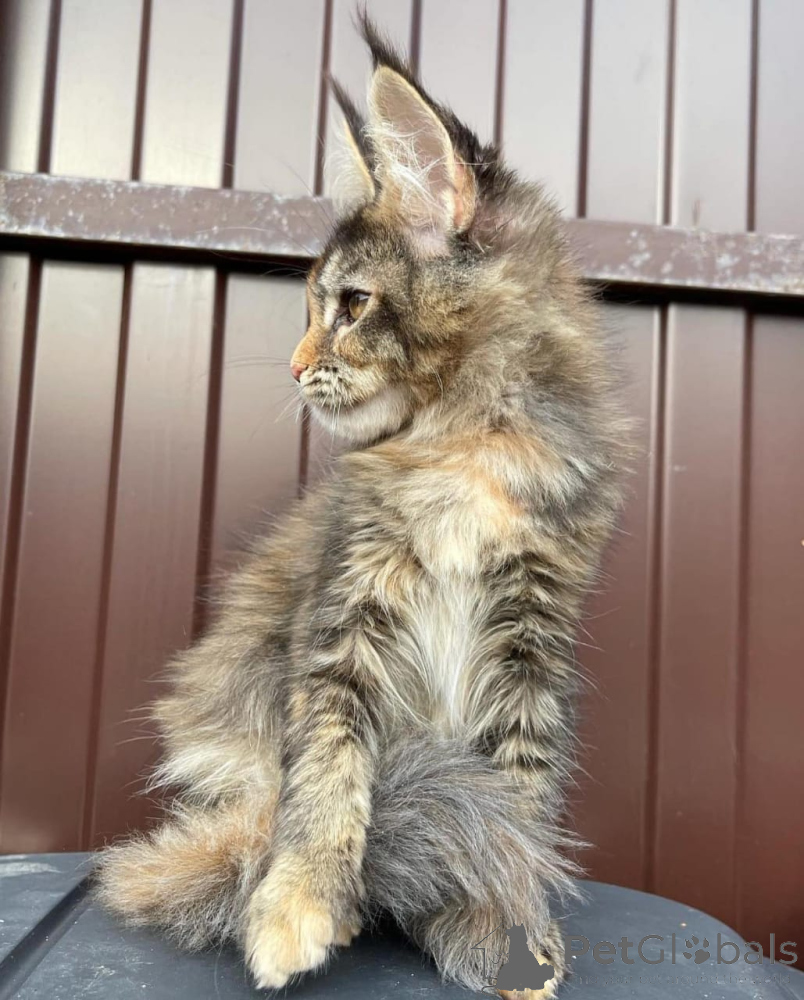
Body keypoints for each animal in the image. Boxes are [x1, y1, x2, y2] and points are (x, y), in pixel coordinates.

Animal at [95, 14, 629, 999]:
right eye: (314, 306)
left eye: (350, 304)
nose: (297, 367)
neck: (466, 446)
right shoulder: (343, 615)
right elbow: (327, 778)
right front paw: (296, 908)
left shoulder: (532, 637)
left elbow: (519, 801)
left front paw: (510, 927)